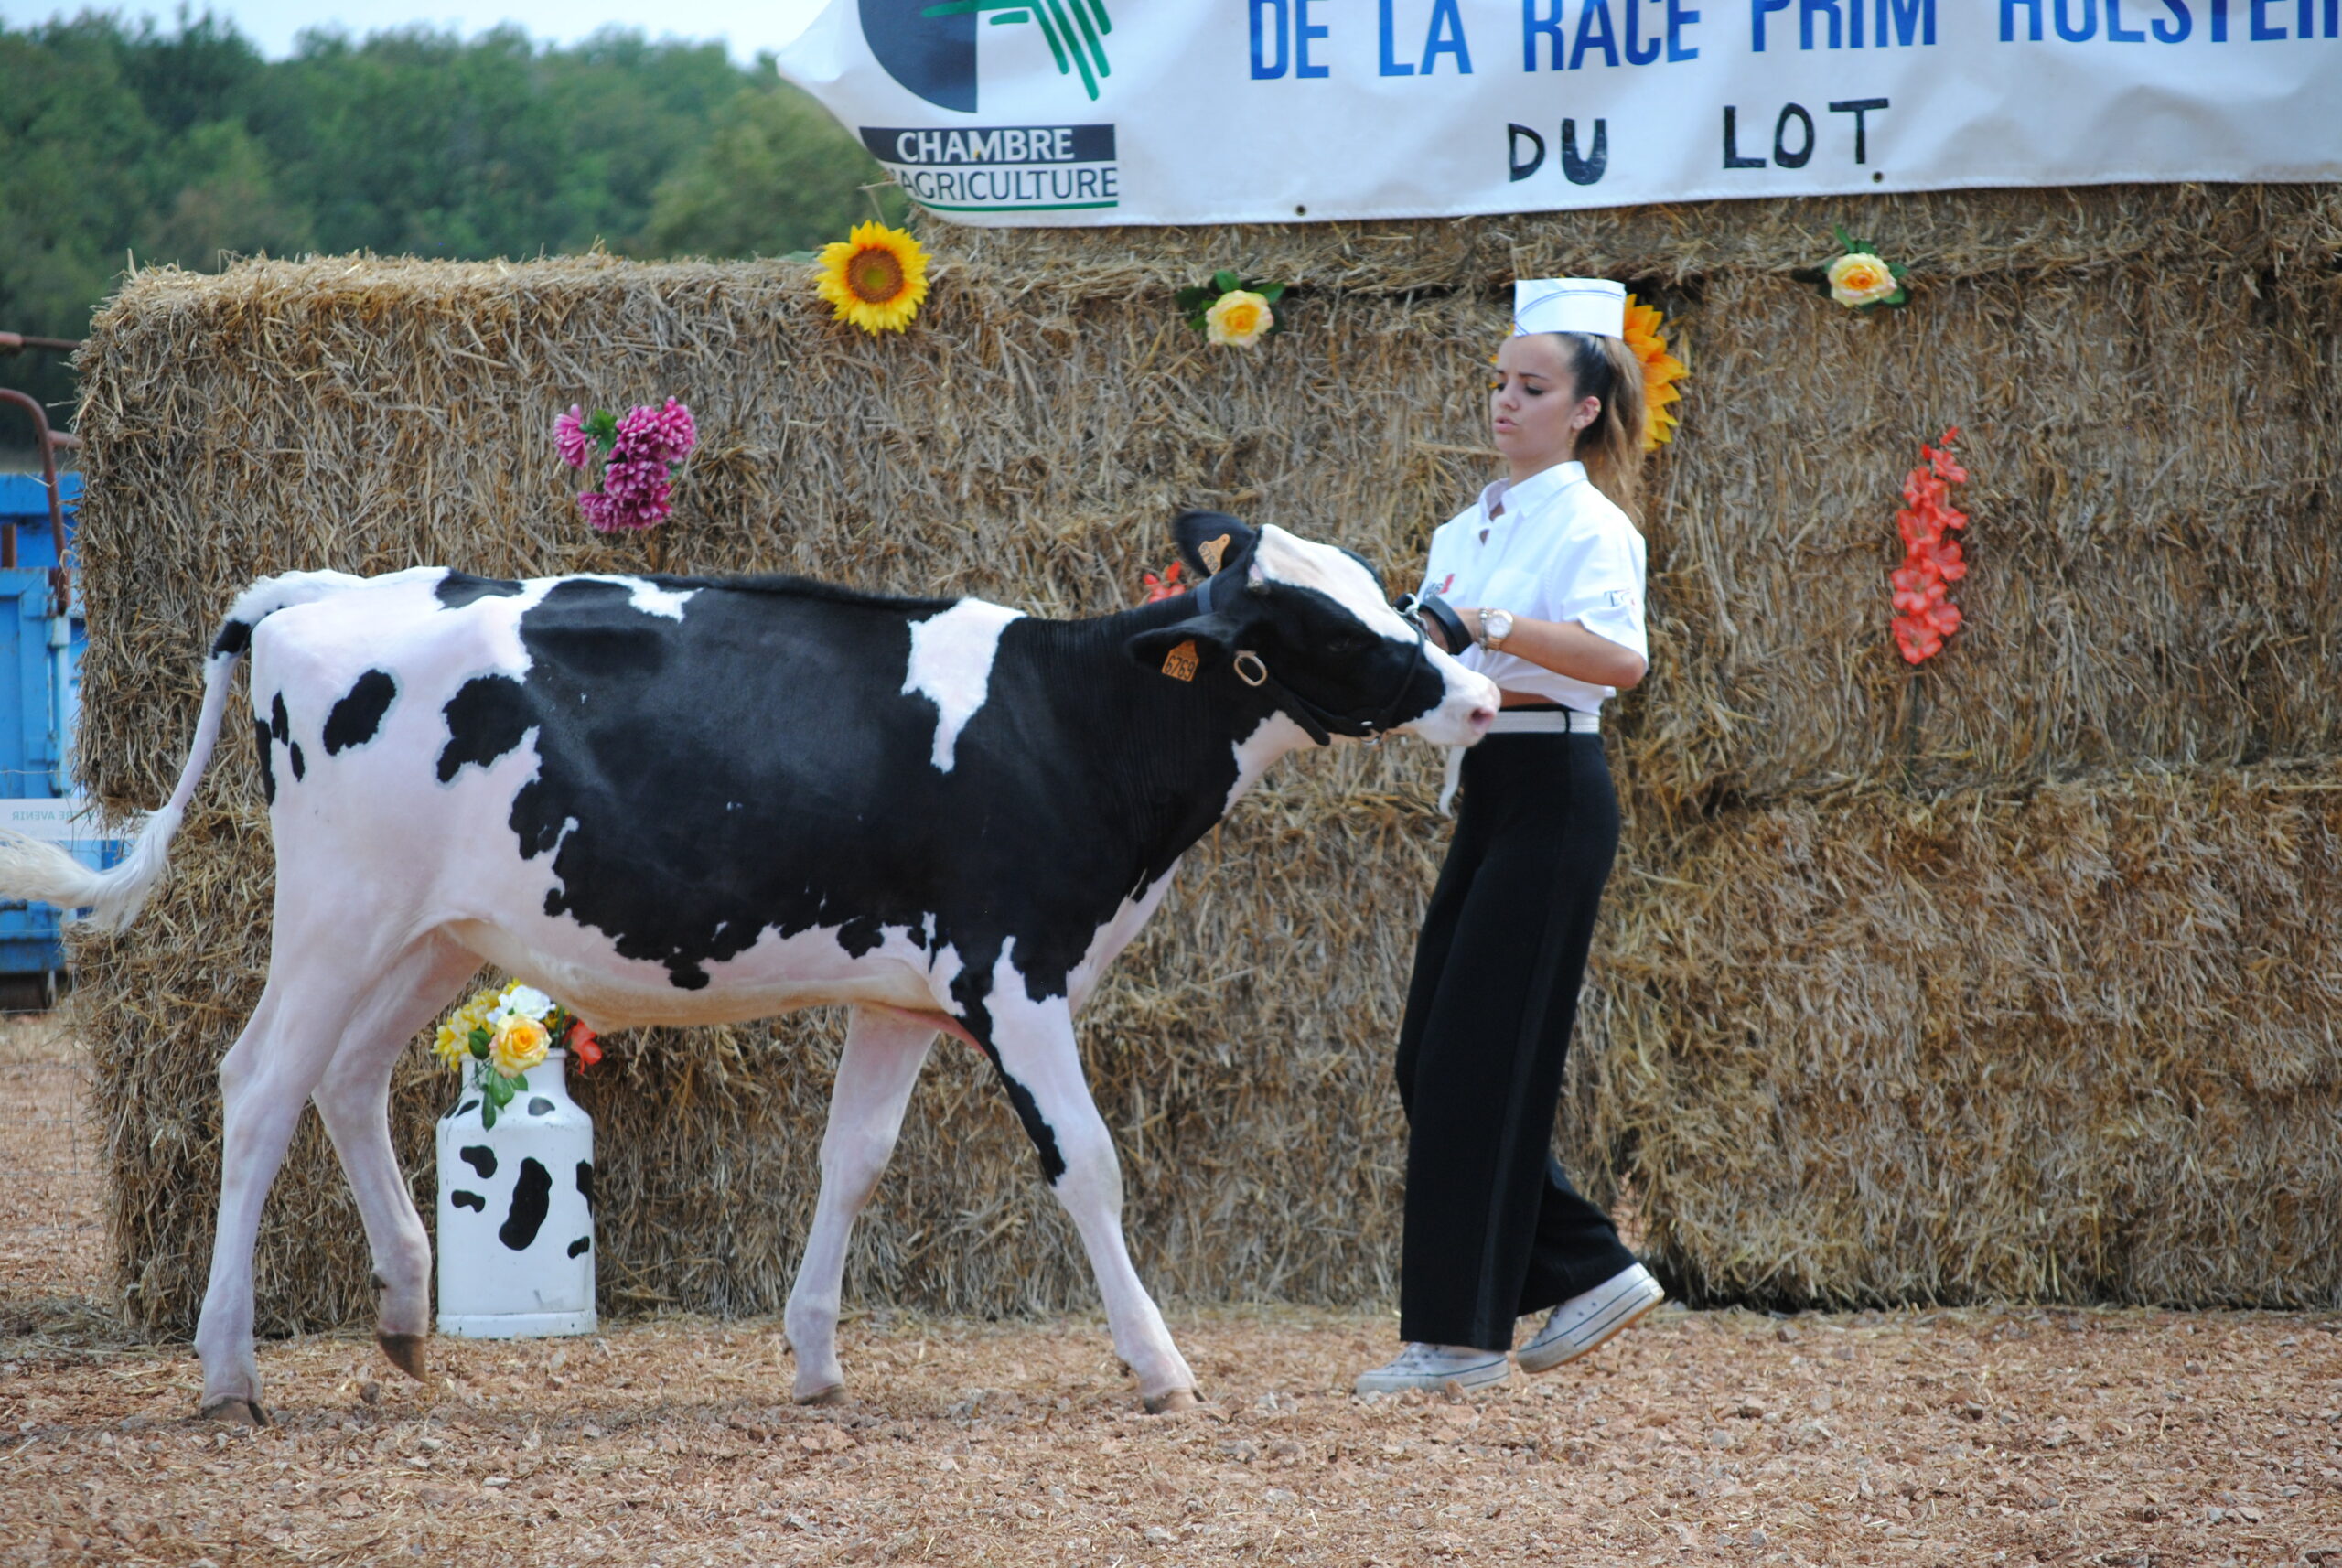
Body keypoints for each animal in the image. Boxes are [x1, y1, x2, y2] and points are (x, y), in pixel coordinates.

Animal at [5, 514, 1499, 1423]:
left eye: (1383, 592)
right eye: (1326, 628)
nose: (1483, 693)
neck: (1067, 722)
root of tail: (313, 596)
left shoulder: (903, 993)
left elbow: (856, 1156)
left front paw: (818, 1357)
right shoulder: (1014, 978)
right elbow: (1088, 1163)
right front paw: (1161, 1363)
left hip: (435, 934)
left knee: (349, 1077)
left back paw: (406, 1307)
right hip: (335, 910)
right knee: (258, 1085)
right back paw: (229, 1368)